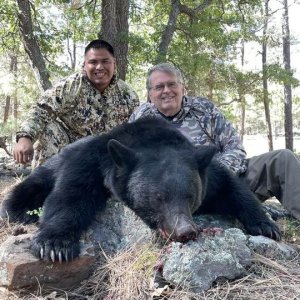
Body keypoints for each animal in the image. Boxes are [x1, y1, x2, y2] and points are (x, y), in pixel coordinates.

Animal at [1, 117, 280, 262]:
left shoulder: (206, 173)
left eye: (191, 197)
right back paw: (19, 213)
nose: (186, 231)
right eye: (158, 198)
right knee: (31, 186)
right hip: (53, 163)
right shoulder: (92, 163)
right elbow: (70, 195)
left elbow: (233, 188)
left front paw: (266, 224)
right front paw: (56, 245)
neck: (150, 139)